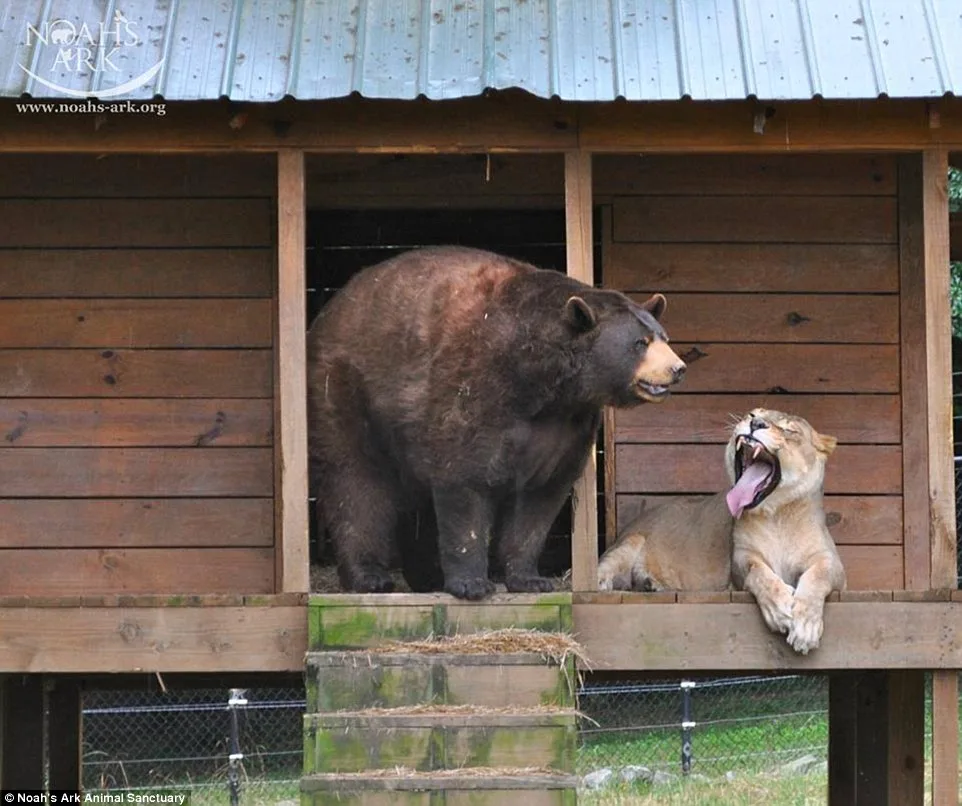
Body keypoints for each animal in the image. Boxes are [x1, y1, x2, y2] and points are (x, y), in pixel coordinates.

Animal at [306, 245, 686, 600]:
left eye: (663, 337)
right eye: (639, 343)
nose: (677, 368)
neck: (541, 382)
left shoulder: (565, 425)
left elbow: (540, 498)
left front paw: (530, 579)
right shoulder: (475, 386)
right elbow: (465, 480)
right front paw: (472, 583)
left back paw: (426, 575)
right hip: (344, 390)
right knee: (355, 481)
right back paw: (369, 575)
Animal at [597, 407, 845, 654]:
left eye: (790, 430)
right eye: (752, 414)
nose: (756, 423)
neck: (777, 517)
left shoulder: (832, 563)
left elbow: (817, 576)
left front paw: (805, 628)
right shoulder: (741, 558)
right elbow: (759, 573)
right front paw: (780, 609)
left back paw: (650, 585)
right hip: (632, 541)